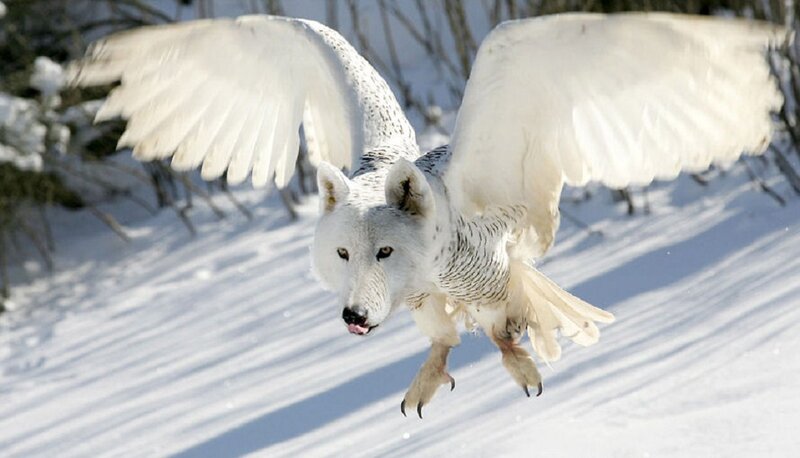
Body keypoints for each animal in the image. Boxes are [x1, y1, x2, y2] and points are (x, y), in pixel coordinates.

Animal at [71, 13, 784, 417]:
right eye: (342, 253)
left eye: (384, 251)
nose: (355, 316)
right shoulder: (422, 296)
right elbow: (265, 20)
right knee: (449, 334)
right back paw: (436, 374)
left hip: (501, 273)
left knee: (502, 317)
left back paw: (517, 358)